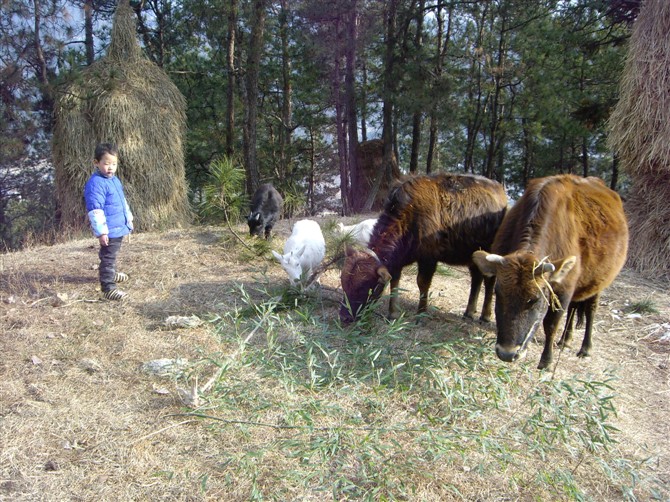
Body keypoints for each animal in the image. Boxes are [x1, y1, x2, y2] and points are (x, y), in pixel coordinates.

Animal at [342, 173, 510, 322]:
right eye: (343, 284)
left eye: (364, 286)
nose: (345, 317)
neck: (409, 215)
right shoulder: (398, 260)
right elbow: (395, 282)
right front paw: (393, 314)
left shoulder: (428, 258)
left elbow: (422, 283)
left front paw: (421, 313)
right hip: (472, 256)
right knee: (476, 279)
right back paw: (468, 312)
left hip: (490, 253)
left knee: (489, 281)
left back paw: (485, 316)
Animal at [472, 176, 632, 368]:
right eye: (498, 293)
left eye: (535, 299)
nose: (507, 353)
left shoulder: (563, 289)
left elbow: (551, 324)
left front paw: (546, 361)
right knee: (573, 309)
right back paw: (566, 340)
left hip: (598, 282)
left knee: (590, 310)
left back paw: (585, 348)